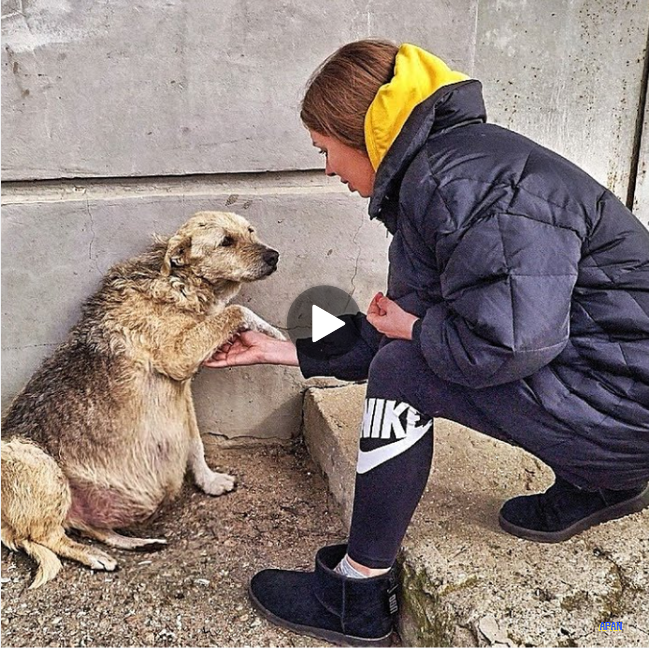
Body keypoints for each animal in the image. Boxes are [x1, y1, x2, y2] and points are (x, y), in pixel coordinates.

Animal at [0, 211, 284, 588]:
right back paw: (94, 556)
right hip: (39, 465)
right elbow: (236, 311)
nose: (274, 256)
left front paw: (208, 481)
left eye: (251, 231)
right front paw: (273, 332)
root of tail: (6, 523)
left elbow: (195, 443)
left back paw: (136, 542)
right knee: (46, 537)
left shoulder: (183, 389)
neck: (177, 282)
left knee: (87, 528)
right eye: (226, 241)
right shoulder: (180, 357)